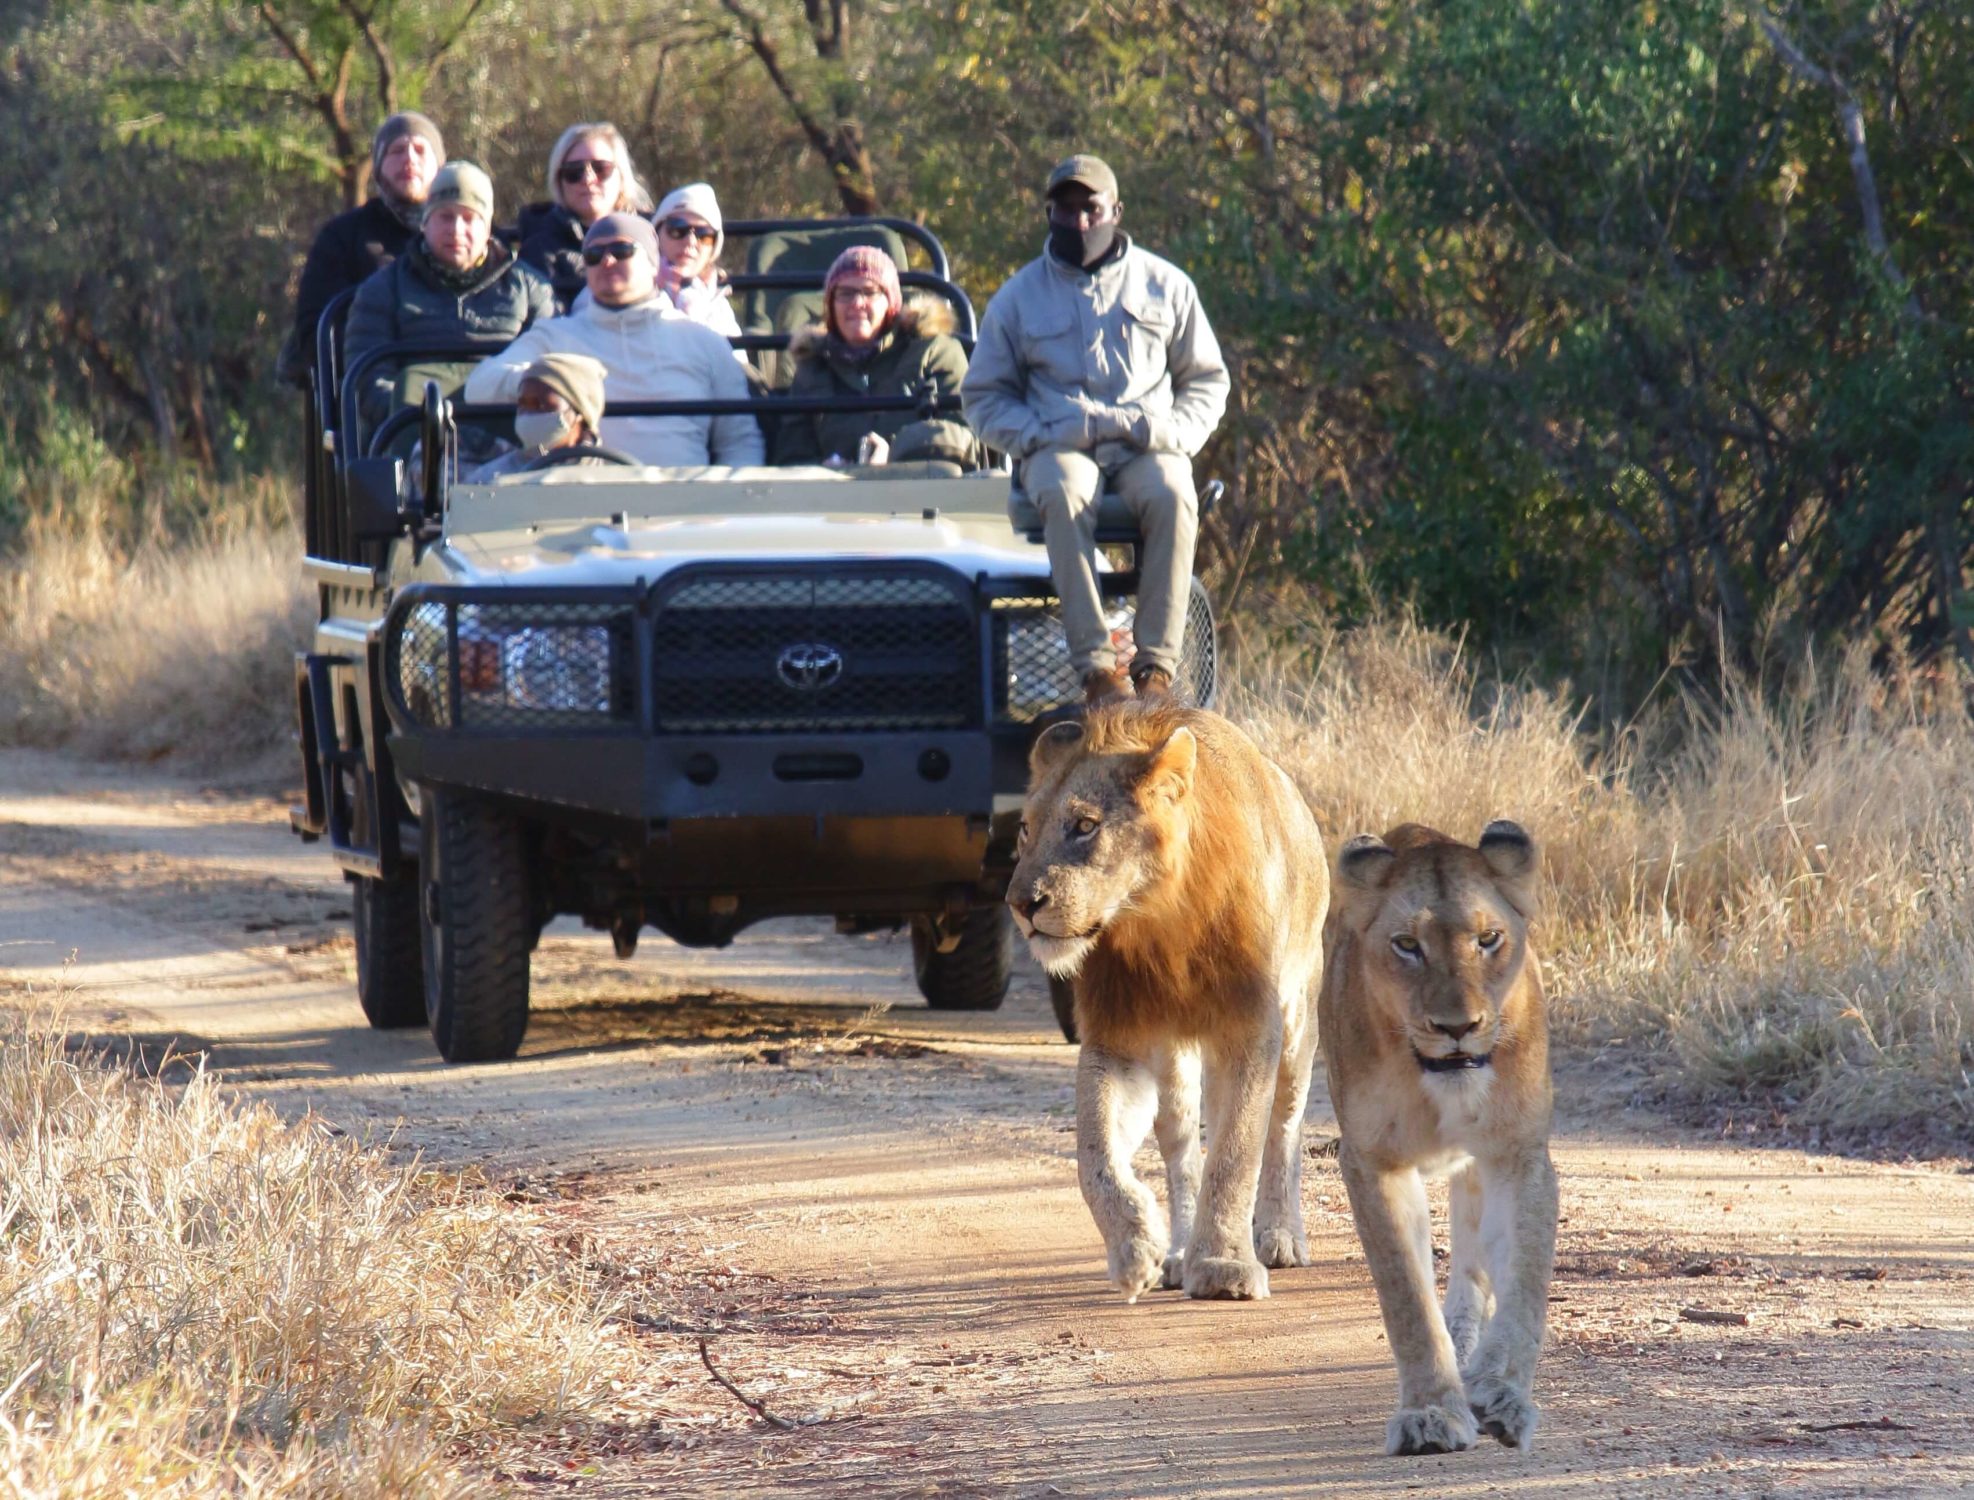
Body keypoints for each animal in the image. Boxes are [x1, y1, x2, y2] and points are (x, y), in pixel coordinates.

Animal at [1006, 701, 1329, 1303]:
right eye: (1024, 829)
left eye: (1085, 826)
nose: (1021, 903)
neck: (1159, 919)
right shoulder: (1119, 1038)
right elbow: (1095, 1156)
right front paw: (1136, 1246)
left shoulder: (1252, 1027)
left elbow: (1235, 1153)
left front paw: (1224, 1265)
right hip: (1175, 1059)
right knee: (1181, 1151)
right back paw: (1179, 1251)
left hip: (1299, 1026)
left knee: (1283, 1131)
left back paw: (1278, 1237)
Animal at [1318, 821, 1558, 1455]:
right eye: (1407, 945)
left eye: (1489, 938)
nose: (1457, 1028)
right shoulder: (1373, 1160)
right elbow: (1405, 1296)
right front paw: (1430, 1414)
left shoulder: (1517, 1153)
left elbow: (1524, 1283)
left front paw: (1502, 1394)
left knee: (1474, 1257)